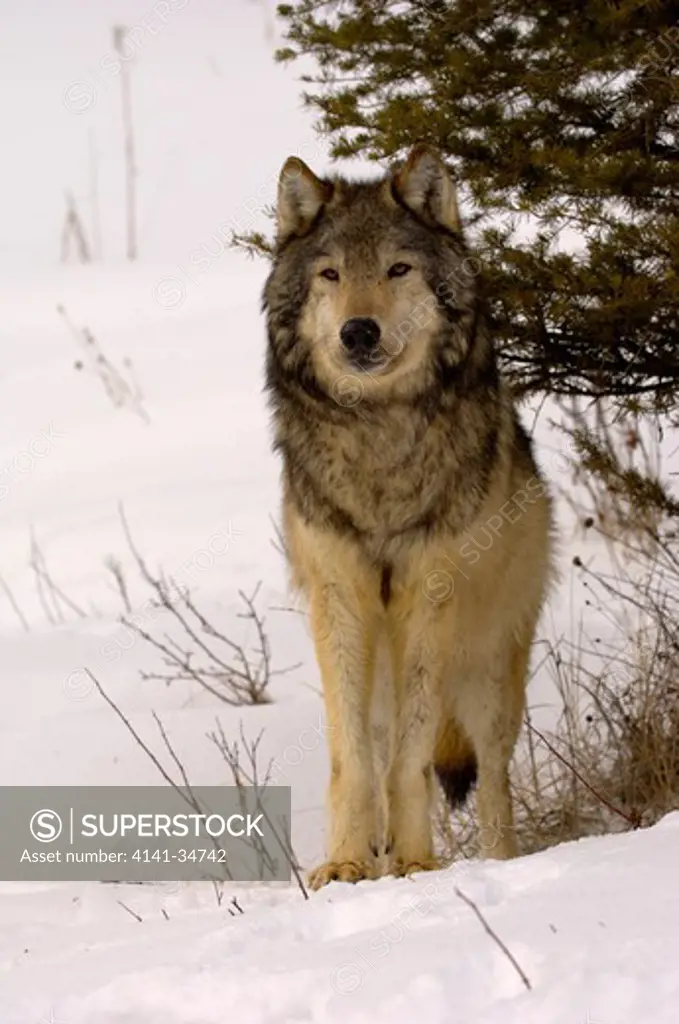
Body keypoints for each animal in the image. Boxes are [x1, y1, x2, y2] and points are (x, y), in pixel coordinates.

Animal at [262, 142, 557, 888]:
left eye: (398, 269)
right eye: (332, 274)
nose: (358, 331)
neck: (378, 441)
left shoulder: (430, 593)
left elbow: (413, 758)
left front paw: (418, 863)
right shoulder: (339, 598)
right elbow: (352, 760)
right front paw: (345, 861)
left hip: (488, 674)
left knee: (492, 780)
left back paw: (496, 864)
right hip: (380, 663)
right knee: (379, 738)